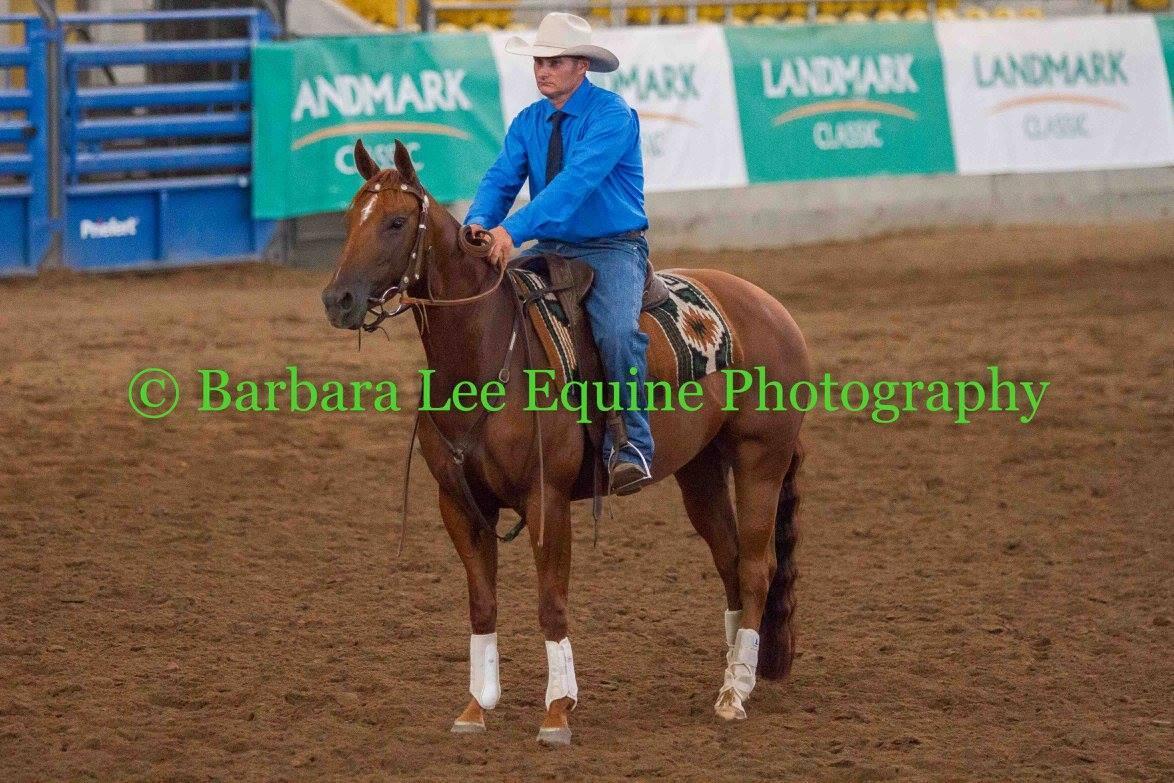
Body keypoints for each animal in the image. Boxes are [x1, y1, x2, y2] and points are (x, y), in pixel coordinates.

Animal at [321, 139, 811, 746]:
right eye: (349, 219)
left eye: (394, 222)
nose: (337, 299)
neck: (486, 351)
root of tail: (771, 307)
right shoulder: (459, 504)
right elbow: (481, 604)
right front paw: (477, 706)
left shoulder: (546, 500)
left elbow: (551, 605)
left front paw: (558, 710)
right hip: (700, 471)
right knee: (731, 563)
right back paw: (737, 673)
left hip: (760, 459)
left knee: (756, 568)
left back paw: (734, 692)